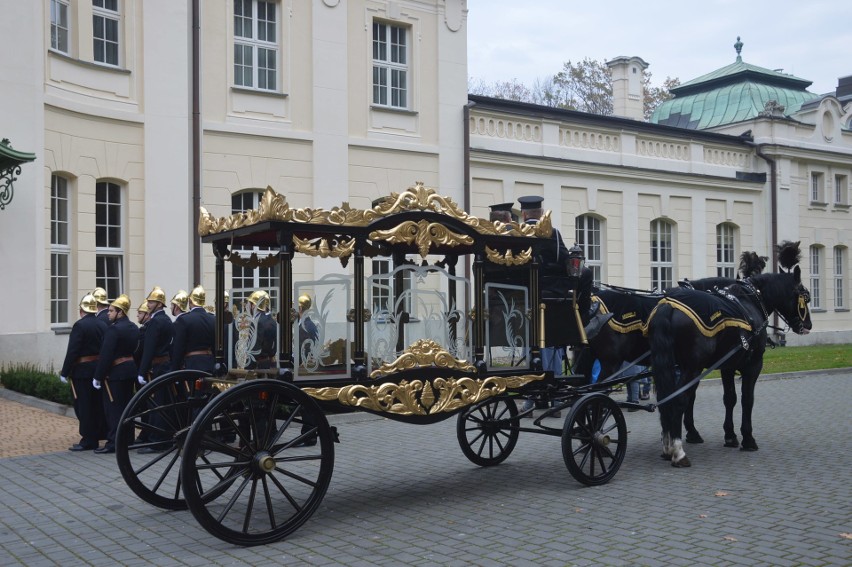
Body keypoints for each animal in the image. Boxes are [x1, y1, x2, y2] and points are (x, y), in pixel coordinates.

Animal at [648, 242, 808, 468]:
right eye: (805, 295)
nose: (807, 325)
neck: (750, 301)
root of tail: (669, 305)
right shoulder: (753, 365)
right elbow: (747, 399)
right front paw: (748, 438)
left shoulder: (726, 366)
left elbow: (729, 398)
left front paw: (730, 436)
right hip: (691, 368)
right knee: (678, 399)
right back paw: (678, 451)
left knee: (667, 399)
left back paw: (668, 446)